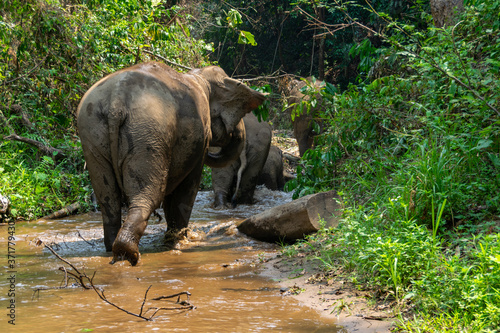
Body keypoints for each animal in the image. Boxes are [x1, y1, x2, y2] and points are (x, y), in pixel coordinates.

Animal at [76, 61, 266, 264]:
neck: (197, 75)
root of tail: (116, 102)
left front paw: (174, 238)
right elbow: (187, 188)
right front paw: (179, 240)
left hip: (92, 133)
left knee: (108, 199)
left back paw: (112, 250)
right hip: (148, 134)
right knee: (148, 195)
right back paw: (129, 253)